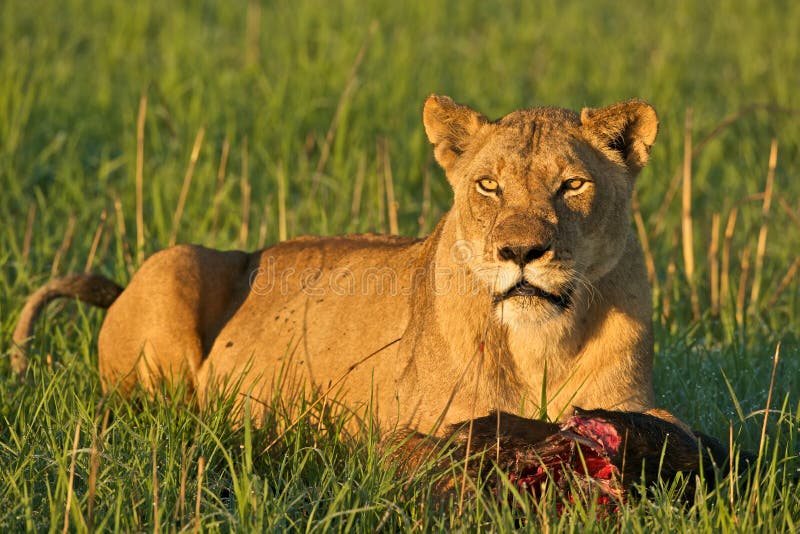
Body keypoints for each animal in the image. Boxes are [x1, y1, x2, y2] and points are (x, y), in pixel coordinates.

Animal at [11, 94, 659, 436]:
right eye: (488, 186)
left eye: (572, 185)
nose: (520, 253)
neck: (539, 346)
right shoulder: (433, 425)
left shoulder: (633, 408)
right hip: (176, 265)